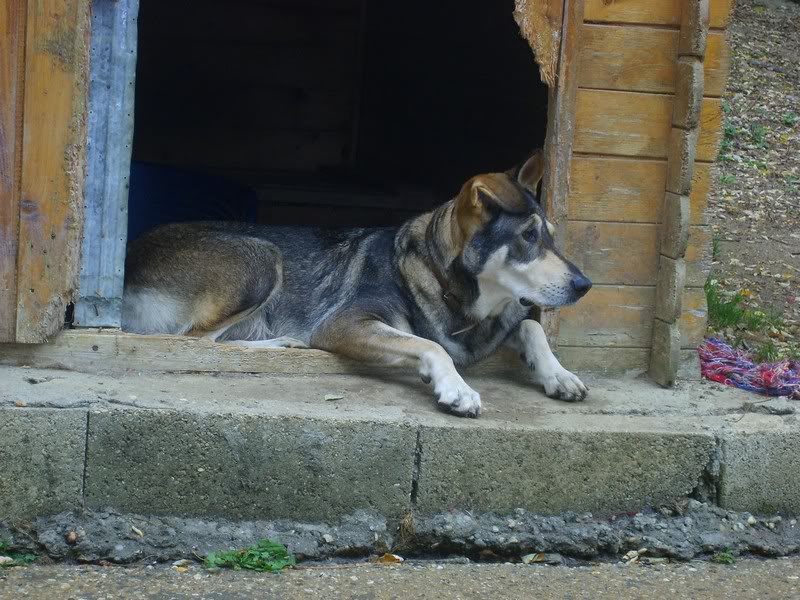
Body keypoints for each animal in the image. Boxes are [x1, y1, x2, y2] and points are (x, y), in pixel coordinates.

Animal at [122, 150, 592, 418]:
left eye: (551, 235)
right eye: (528, 237)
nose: (585, 285)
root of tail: (128, 256)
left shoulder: (500, 322)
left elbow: (530, 326)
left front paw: (558, 374)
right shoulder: (345, 324)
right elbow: (430, 344)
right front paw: (457, 388)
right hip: (262, 258)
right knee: (195, 341)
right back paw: (282, 343)